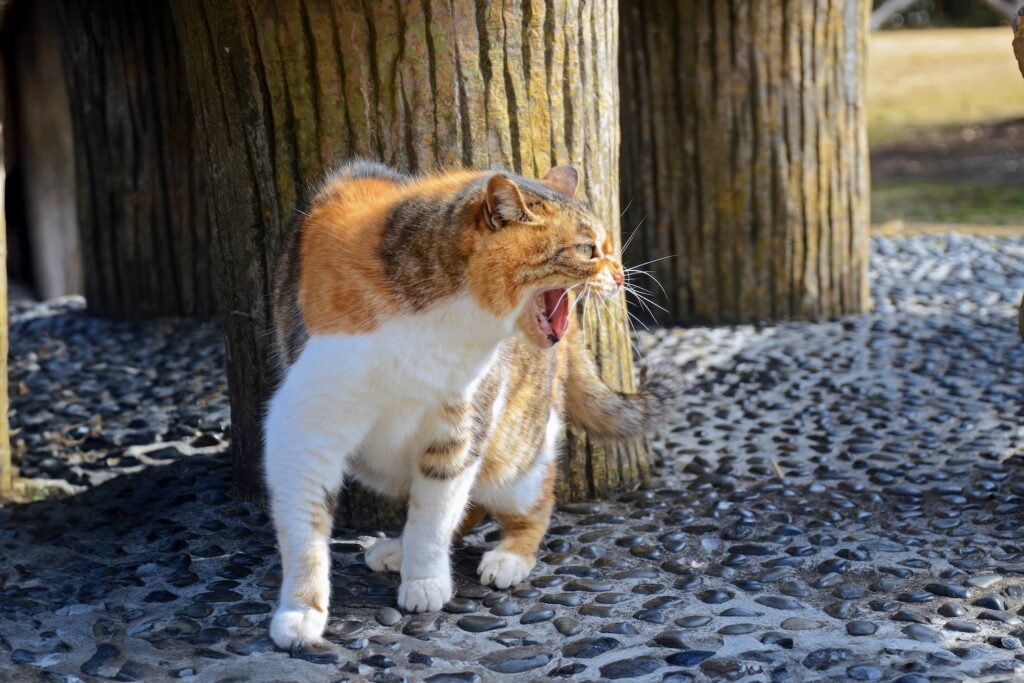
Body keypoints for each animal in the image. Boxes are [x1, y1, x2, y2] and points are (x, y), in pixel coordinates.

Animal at [264, 158, 671, 647]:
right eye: (587, 249)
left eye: (606, 248)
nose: (622, 276)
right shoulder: (305, 429)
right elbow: (304, 528)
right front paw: (301, 610)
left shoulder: (460, 424)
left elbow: (436, 515)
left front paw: (425, 581)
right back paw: (398, 549)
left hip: (514, 449)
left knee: (531, 502)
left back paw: (507, 557)